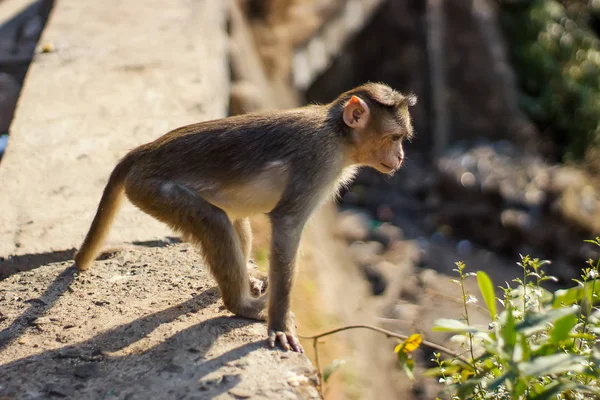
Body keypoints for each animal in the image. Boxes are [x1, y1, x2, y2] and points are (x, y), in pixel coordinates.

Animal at [74, 82, 418, 354]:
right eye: (394, 138)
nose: (401, 157)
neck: (338, 134)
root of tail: (146, 150)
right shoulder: (318, 162)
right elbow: (286, 224)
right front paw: (279, 323)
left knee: (234, 220)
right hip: (152, 189)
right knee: (214, 221)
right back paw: (240, 306)